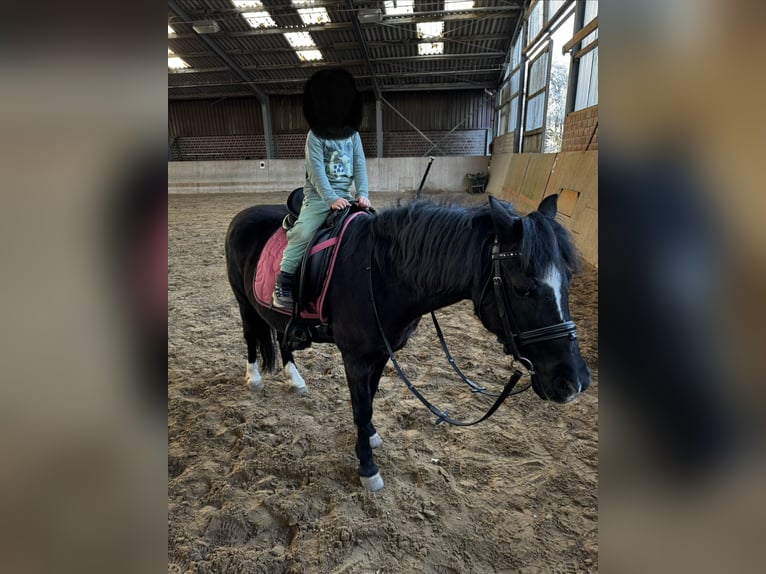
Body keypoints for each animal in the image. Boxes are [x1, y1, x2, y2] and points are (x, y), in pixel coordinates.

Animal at [225, 194, 591, 491]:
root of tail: (244, 213)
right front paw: (367, 466)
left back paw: (295, 379)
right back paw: (253, 377)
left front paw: (370, 437)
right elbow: (361, 407)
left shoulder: (381, 354)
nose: (574, 382)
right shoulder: (354, 358)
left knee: (281, 336)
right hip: (243, 301)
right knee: (250, 335)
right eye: (522, 288)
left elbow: (370, 400)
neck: (378, 272)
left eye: (569, 278)